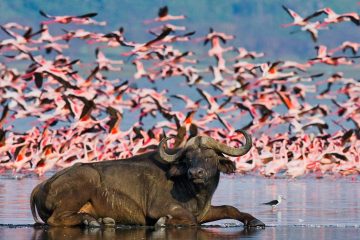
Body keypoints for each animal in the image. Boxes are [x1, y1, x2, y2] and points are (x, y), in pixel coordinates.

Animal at [30, 130, 264, 228]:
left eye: (210, 157)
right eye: (188, 159)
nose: (195, 173)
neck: (194, 191)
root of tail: (41, 185)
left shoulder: (205, 210)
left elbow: (229, 208)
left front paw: (255, 221)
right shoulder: (159, 208)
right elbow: (189, 219)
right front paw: (164, 223)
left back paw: (101, 221)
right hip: (85, 179)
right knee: (55, 220)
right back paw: (92, 222)